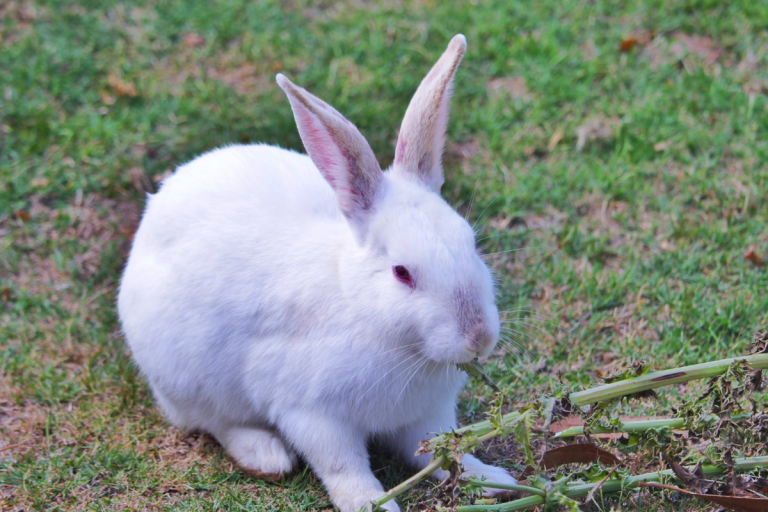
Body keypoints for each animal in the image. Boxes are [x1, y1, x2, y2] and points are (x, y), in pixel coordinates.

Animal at [118, 34, 517, 512]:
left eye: (471, 243)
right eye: (402, 273)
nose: (479, 337)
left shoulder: (425, 415)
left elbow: (441, 450)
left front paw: (493, 479)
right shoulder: (313, 415)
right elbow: (344, 467)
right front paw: (370, 504)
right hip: (187, 379)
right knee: (215, 422)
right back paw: (265, 455)